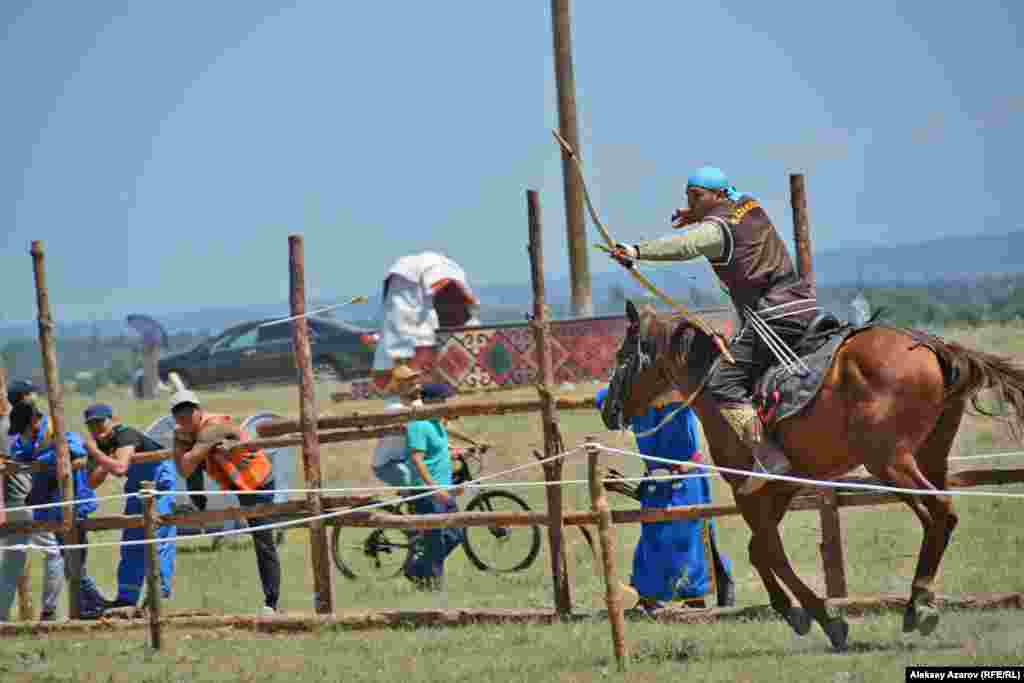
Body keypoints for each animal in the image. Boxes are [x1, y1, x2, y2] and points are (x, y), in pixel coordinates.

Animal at [602, 301, 1024, 651]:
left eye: (622, 355)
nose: (608, 410)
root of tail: (934, 347)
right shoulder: (782, 487)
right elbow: (760, 549)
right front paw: (808, 613)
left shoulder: (747, 490)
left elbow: (767, 550)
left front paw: (815, 615)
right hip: (926, 459)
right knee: (937, 519)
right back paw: (919, 604)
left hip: (891, 463)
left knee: (940, 514)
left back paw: (918, 602)